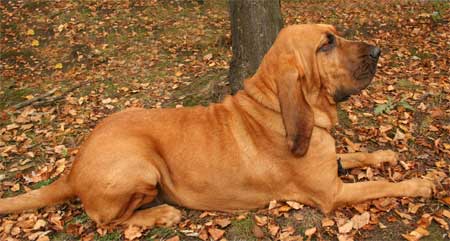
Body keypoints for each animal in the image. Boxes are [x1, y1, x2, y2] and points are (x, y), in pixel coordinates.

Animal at [0, 24, 436, 228]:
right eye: (325, 44)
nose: (378, 50)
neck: (274, 107)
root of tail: (73, 170)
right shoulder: (332, 193)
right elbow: (382, 186)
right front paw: (421, 184)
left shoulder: (334, 165)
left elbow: (359, 155)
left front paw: (385, 153)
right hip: (141, 166)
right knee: (107, 221)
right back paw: (160, 215)